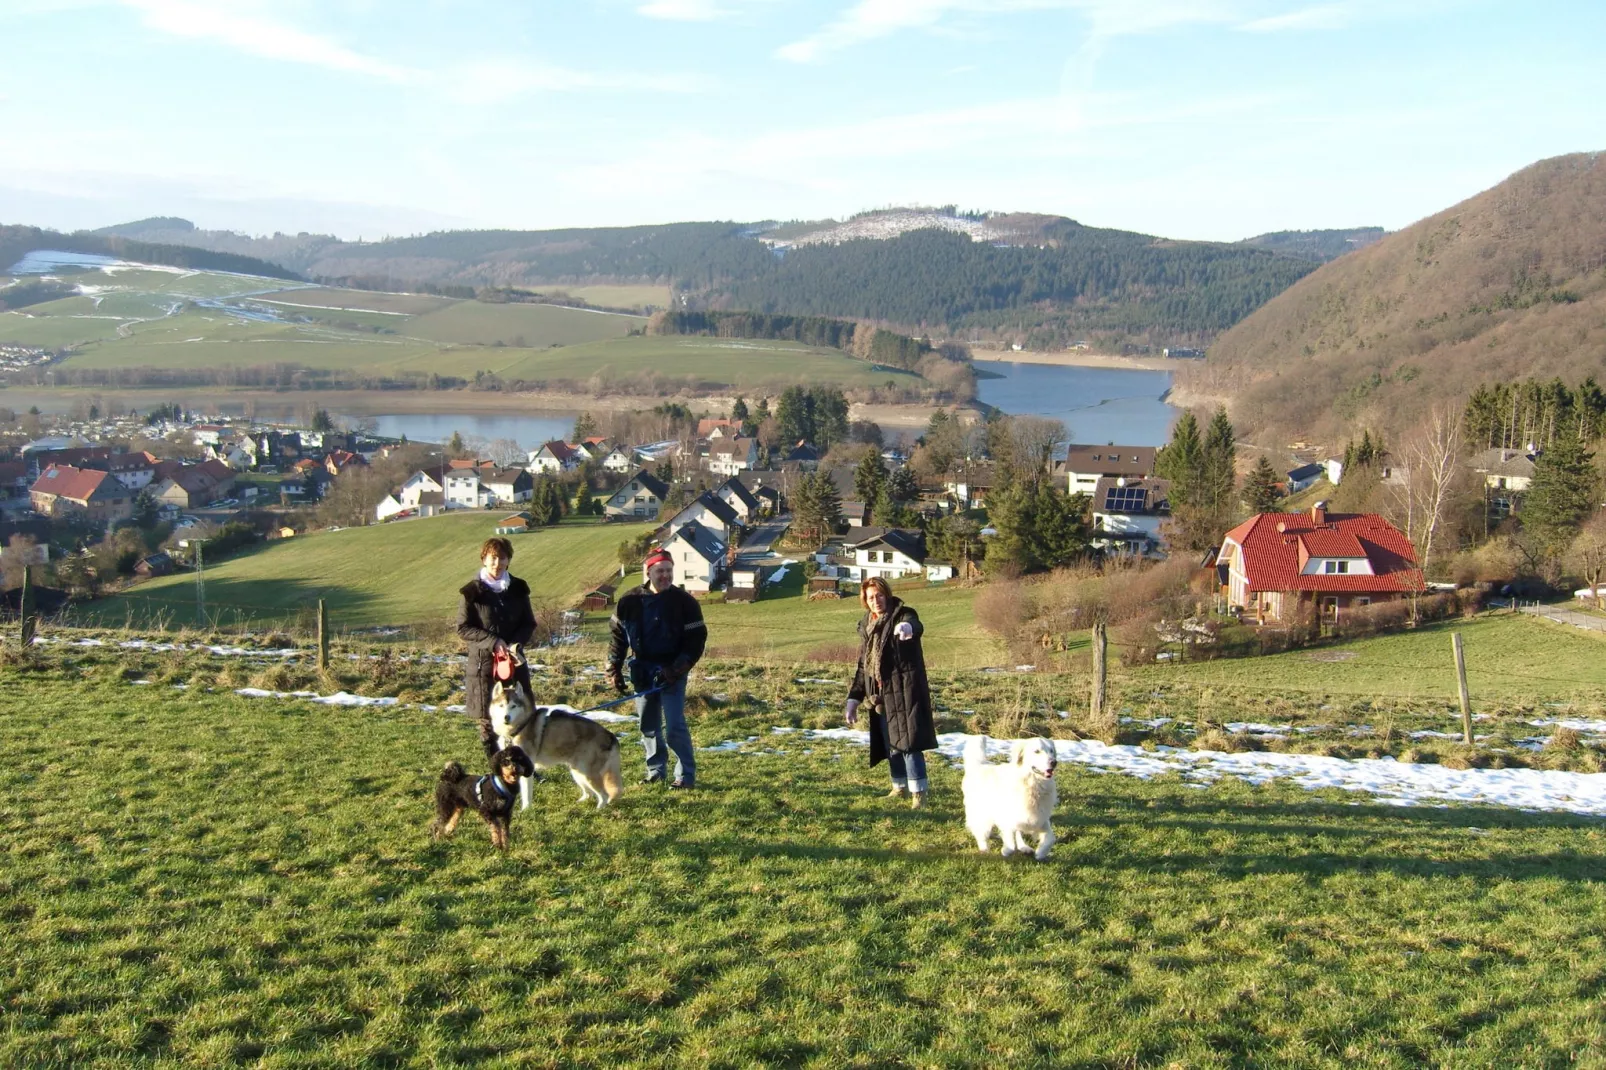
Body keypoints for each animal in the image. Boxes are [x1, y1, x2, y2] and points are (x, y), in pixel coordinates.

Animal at [485, 677, 623, 803]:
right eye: (501, 705)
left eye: (513, 706)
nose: (506, 717)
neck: (521, 726)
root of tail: (610, 734)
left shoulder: (527, 769)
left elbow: (526, 795)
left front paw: (526, 810)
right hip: (578, 772)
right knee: (589, 794)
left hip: (587, 773)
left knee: (604, 796)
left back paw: (599, 810)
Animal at [957, 732, 1059, 861]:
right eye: (1037, 751)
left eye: (1051, 751)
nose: (1054, 762)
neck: (1033, 784)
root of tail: (980, 765)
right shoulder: (1006, 816)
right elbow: (1010, 841)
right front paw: (1006, 850)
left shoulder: (1040, 818)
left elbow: (1051, 838)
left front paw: (1040, 853)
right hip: (981, 813)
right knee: (982, 832)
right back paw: (984, 850)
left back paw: (1024, 847)